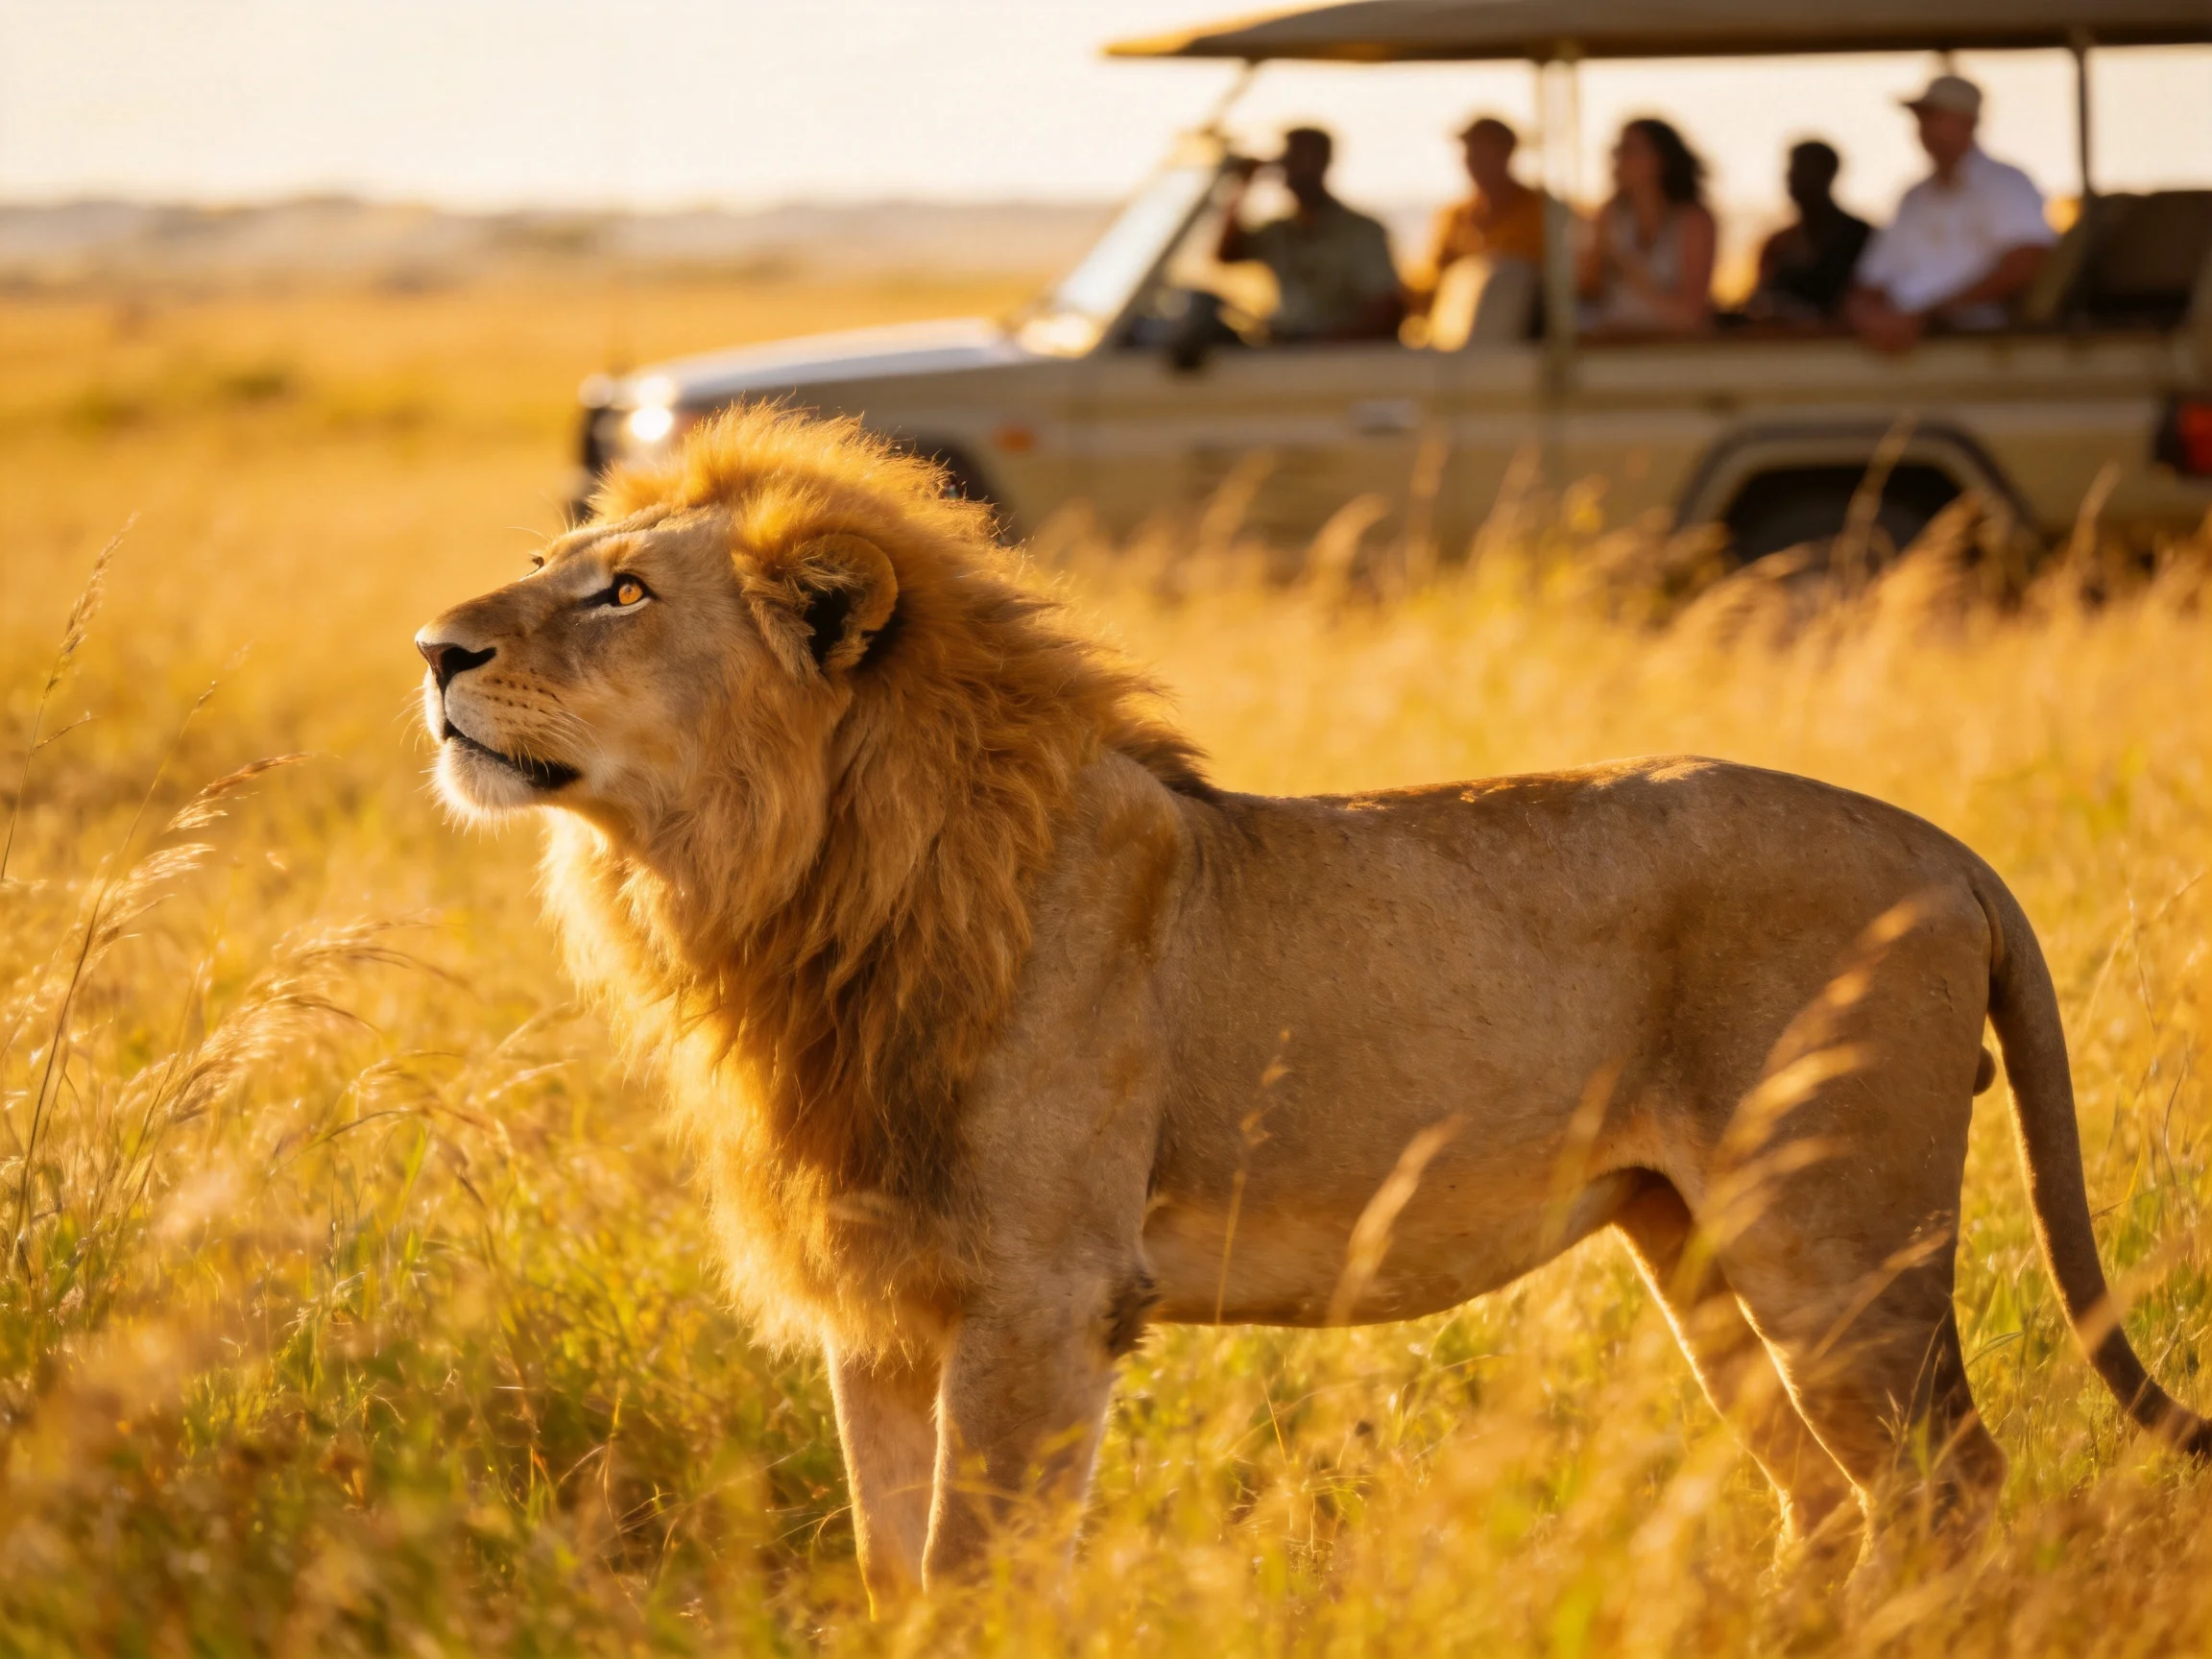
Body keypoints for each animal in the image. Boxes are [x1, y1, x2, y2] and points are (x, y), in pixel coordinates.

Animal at [416, 406, 2207, 1606]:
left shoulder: (1041, 1301)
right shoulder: (882, 1308)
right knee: (1829, 1503)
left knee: (1948, 1490)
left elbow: (976, 1583)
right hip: (1695, 1241)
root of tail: (1942, 846)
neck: (781, 891)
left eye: (625, 596)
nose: (432, 646)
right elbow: (893, 1571)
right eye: (545, 569)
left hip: (1835, 1236)